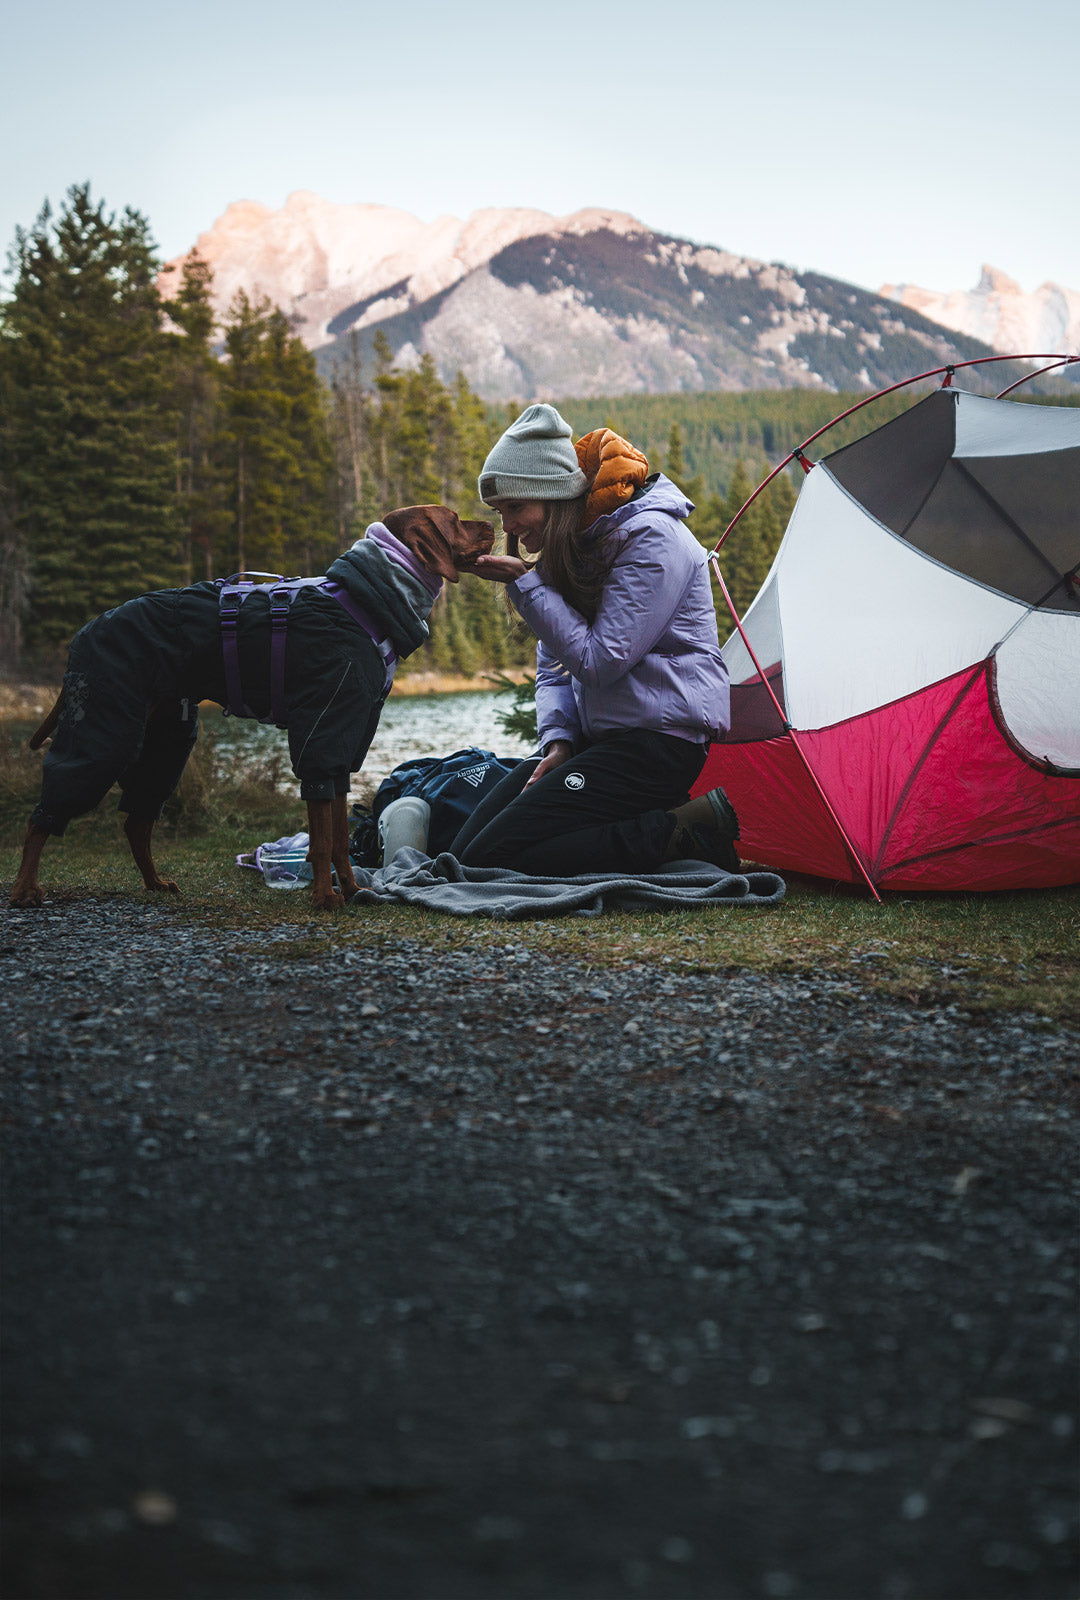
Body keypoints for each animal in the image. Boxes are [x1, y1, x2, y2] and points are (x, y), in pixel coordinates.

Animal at [4, 512, 492, 915]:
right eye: (454, 519)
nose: (490, 520)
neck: (365, 599)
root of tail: (86, 630)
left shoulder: (345, 745)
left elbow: (337, 838)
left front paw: (353, 891)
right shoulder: (321, 732)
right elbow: (321, 840)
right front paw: (324, 897)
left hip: (166, 740)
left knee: (137, 821)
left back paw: (155, 882)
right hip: (103, 729)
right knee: (44, 814)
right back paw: (25, 889)